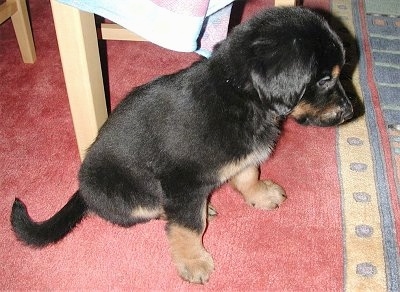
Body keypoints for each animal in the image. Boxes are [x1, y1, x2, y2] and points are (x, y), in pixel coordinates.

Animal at [10, 6, 354, 284]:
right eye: (325, 79)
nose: (351, 112)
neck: (240, 98)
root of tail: (82, 190)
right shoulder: (182, 181)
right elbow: (189, 227)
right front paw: (193, 261)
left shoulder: (243, 156)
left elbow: (247, 174)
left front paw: (260, 194)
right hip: (131, 192)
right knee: (156, 209)